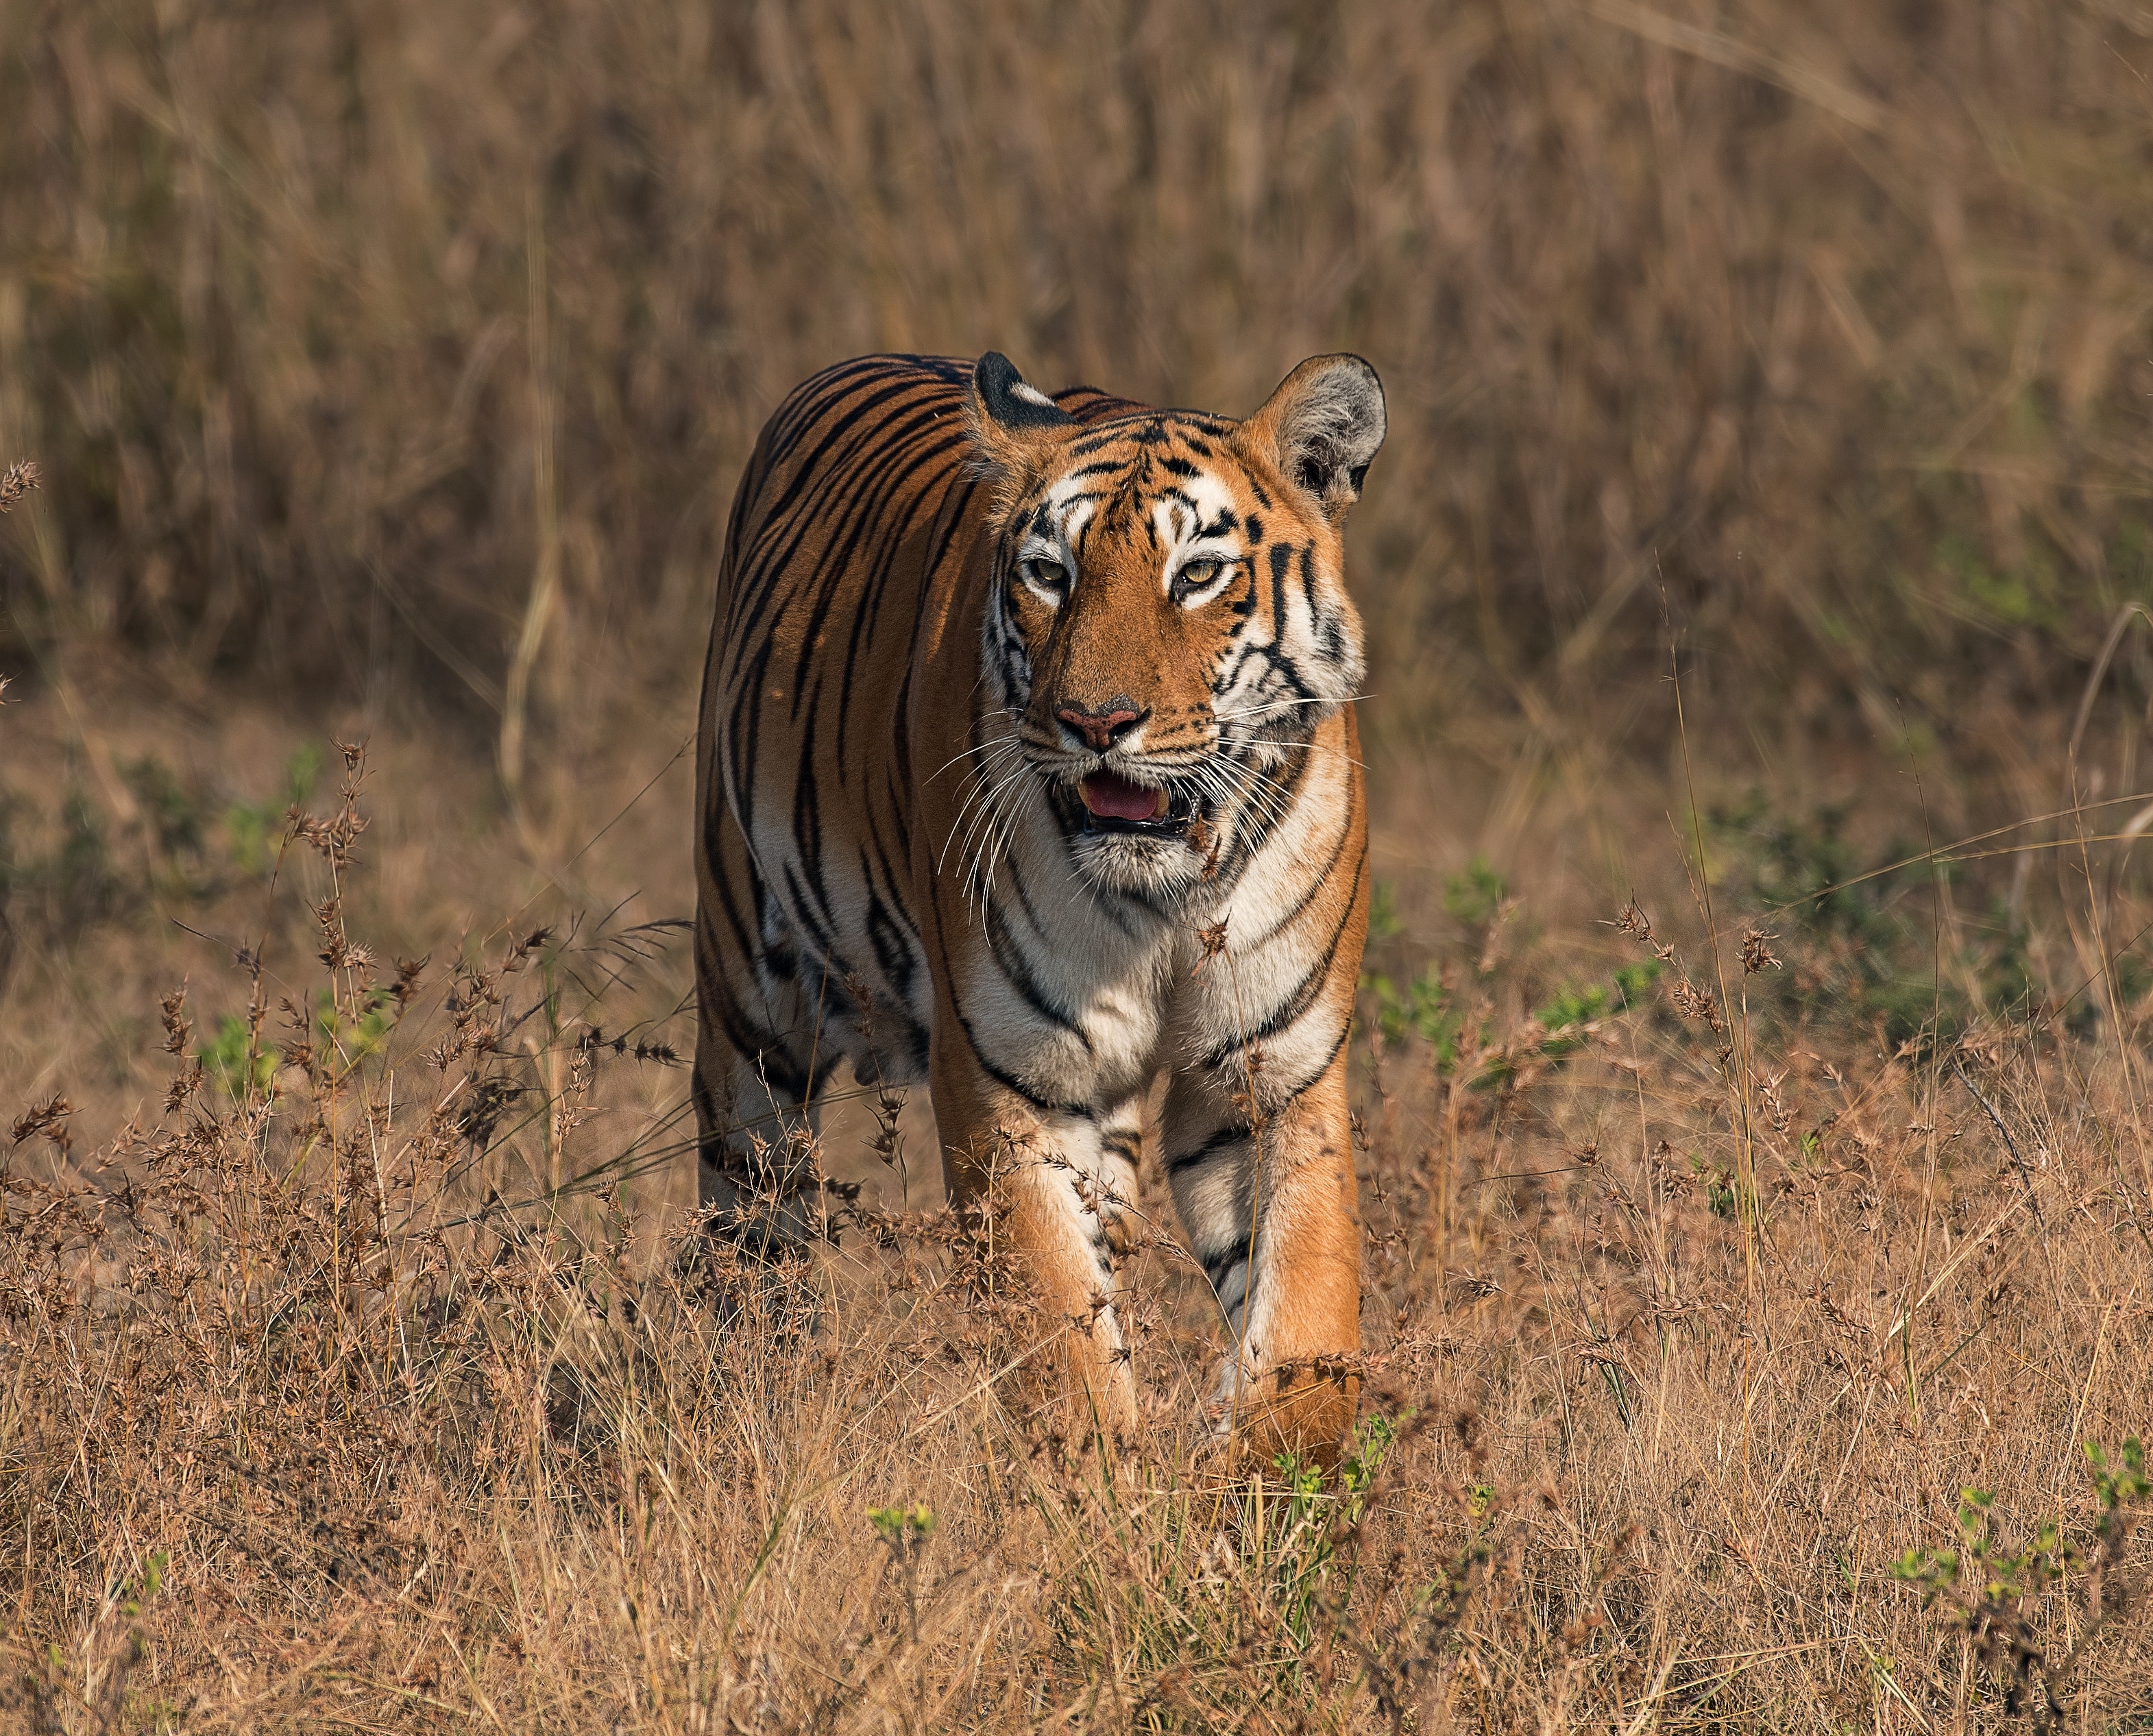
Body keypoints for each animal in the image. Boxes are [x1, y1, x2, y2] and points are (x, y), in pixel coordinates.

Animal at [697, 346, 1386, 1465]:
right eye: (1049, 574)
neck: (1169, 896)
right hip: (750, 1005)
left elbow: (1308, 1334)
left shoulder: (1277, 1071)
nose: (1097, 723)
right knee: (747, 1232)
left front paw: (1256, 1482)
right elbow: (1063, 1345)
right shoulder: (1007, 1079)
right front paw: (1109, 1495)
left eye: (1198, 574)